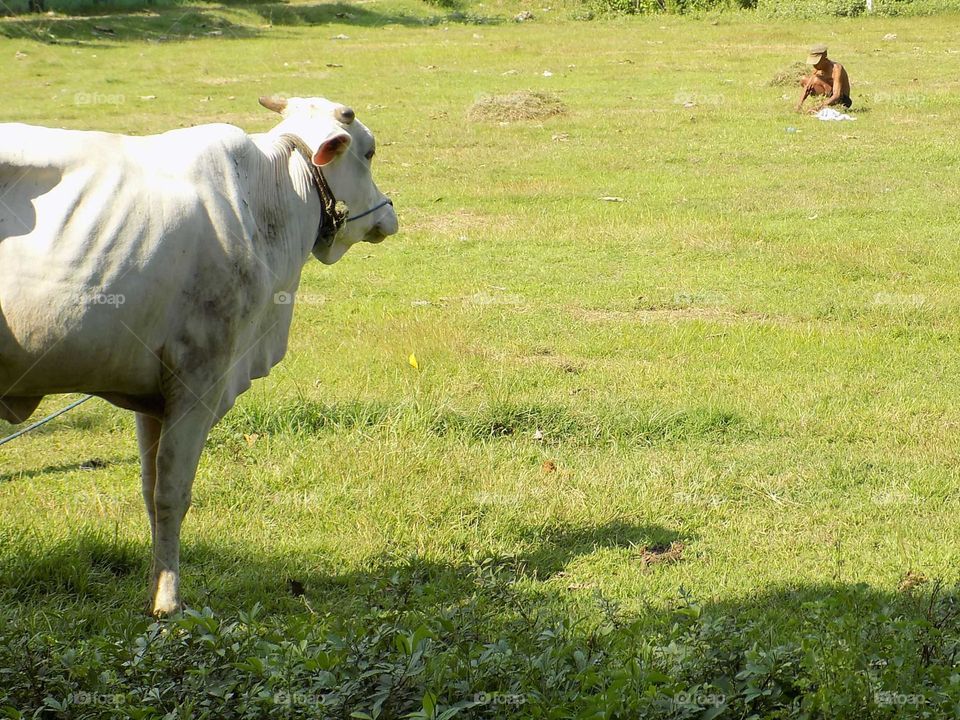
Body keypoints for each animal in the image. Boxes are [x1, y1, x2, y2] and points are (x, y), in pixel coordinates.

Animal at [0, 96, 399, 615]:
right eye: (368, 153)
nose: (390, 215)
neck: (266, 200)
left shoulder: (150, 395)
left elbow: (149, 491)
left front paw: (155, 587)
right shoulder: (199, 381)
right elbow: (173, 494)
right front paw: (169, 602)